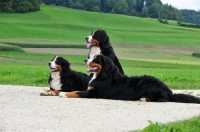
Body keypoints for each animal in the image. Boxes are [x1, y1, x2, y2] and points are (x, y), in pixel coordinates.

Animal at [59, 54, 200, 104]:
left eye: (95, 59)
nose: (85, 60)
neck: (103, 75)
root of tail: (168, 89)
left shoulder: (93, 92)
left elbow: (77, 92)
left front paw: (63, 93)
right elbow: (76, 90)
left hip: (147, 84)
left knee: (162, 99)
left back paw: (144, 98)